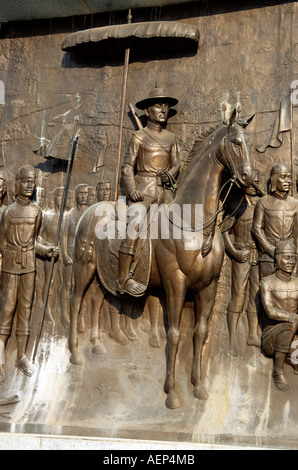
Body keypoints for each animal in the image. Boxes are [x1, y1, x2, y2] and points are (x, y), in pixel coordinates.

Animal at [67, 108, 254, 410]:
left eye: (249, 141)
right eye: (237, 142)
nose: (249, 176)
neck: (193, 222)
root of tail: (90, 211)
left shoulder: (209, 286)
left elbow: (200, 332)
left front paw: (198, 386)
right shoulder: (175, 283)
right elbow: (175, 334)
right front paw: (172, 393)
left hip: (101, 276)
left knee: (95, 301)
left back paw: (97, 344)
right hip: (84, 267)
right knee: (75, 301)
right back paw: (75, 352)